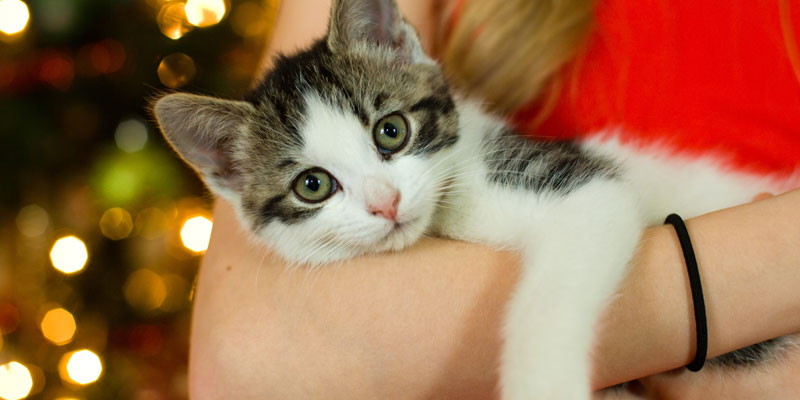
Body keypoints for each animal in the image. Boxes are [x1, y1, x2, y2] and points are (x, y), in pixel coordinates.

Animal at [153, 0, 796, 398]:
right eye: (312, 185)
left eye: (391, 130)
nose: (386, 203)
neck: (450, 209)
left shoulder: (585, 186)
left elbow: (552, 292)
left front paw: (543, 386)